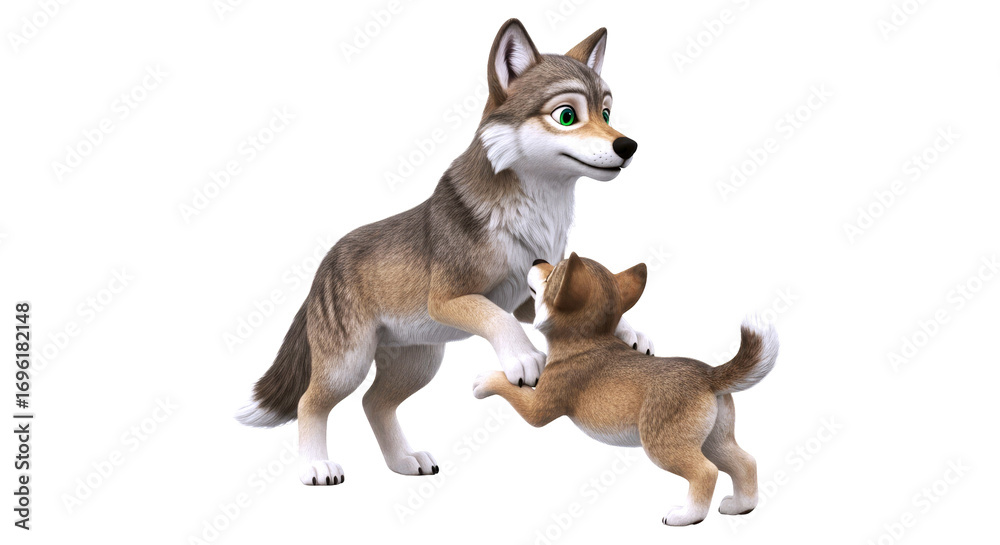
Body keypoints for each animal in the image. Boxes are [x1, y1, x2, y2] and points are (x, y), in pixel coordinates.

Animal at [236, 19, 651, 486]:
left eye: (606, 114)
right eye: (566, 115)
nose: (628, 146)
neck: (538, 215)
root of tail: (324, 265)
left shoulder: (526, 296)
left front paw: (629, 331)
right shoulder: (450, 299)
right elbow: (500, 320)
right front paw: (524, 357)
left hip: (418, 363)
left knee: (373, 404)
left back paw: (403, 461)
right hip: (349, 364)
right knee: (310, 402)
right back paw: (316, 467)